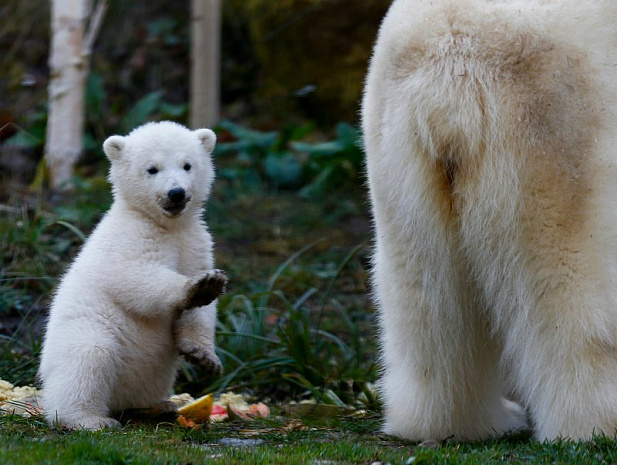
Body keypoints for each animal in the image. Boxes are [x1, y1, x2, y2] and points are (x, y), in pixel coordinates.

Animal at [360, 0, 616, 440]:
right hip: (549, 124)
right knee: (571, 281)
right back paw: (594, 425)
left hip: (396, 150)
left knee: (426, 294)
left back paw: (456, 423)